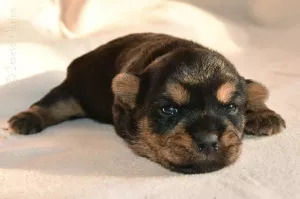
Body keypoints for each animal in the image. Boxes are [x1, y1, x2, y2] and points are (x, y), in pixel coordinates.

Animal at [8, 32, 286, 173]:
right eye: (169, 109)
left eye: (231, 107)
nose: (208, 141)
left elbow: (253, 89)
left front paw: (263, 114)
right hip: (75, 91)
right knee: (51, 104)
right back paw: (25, 118)